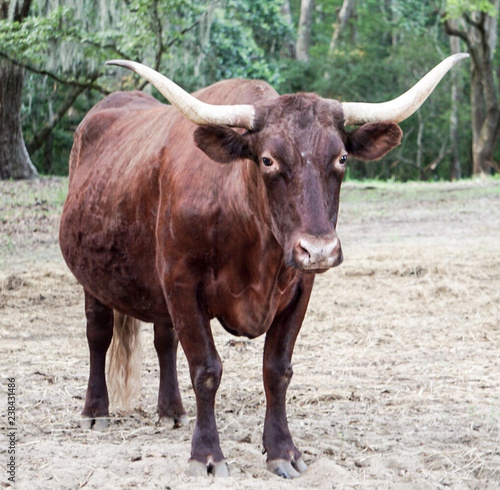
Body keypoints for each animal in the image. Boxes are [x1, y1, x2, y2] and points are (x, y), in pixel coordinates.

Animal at [59, 53, 468, 478]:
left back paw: (171, 411)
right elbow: (206, 369)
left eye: (341, 157)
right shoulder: (181, 283)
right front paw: (207, 454)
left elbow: (277, 369)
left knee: (163, 338)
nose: (318, 250)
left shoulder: (297, 290)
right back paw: (95, 411)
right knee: (98, 334)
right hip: (94, 281)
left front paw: (282, 450)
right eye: (268, 160)